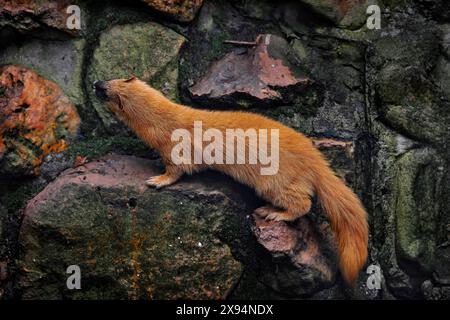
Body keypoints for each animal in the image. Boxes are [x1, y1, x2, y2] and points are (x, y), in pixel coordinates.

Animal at [93, 77, 368, 284]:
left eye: (103, 90)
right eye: (110, 77)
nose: (96, 82)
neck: (165, 121)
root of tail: (315, 158)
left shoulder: (175, 150)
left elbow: (177, 170)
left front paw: (156, 180)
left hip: (273, 181)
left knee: (302, 203)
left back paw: (273, 213)